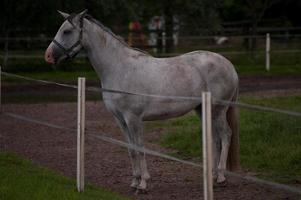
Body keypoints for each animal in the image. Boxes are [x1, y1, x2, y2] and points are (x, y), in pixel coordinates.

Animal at [44, 10, 238, 192]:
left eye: (67, 31)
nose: (48, 56)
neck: (119, 68)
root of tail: (229, 65)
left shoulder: (134, 119)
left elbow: (140, 148)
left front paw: (143, 183)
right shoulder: (121, 120)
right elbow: (131, 150)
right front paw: (134, 182)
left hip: (218, 110)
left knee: (225, 135)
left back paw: (221, 177)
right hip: (203, 109)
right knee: (215, 139)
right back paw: (212, 176)